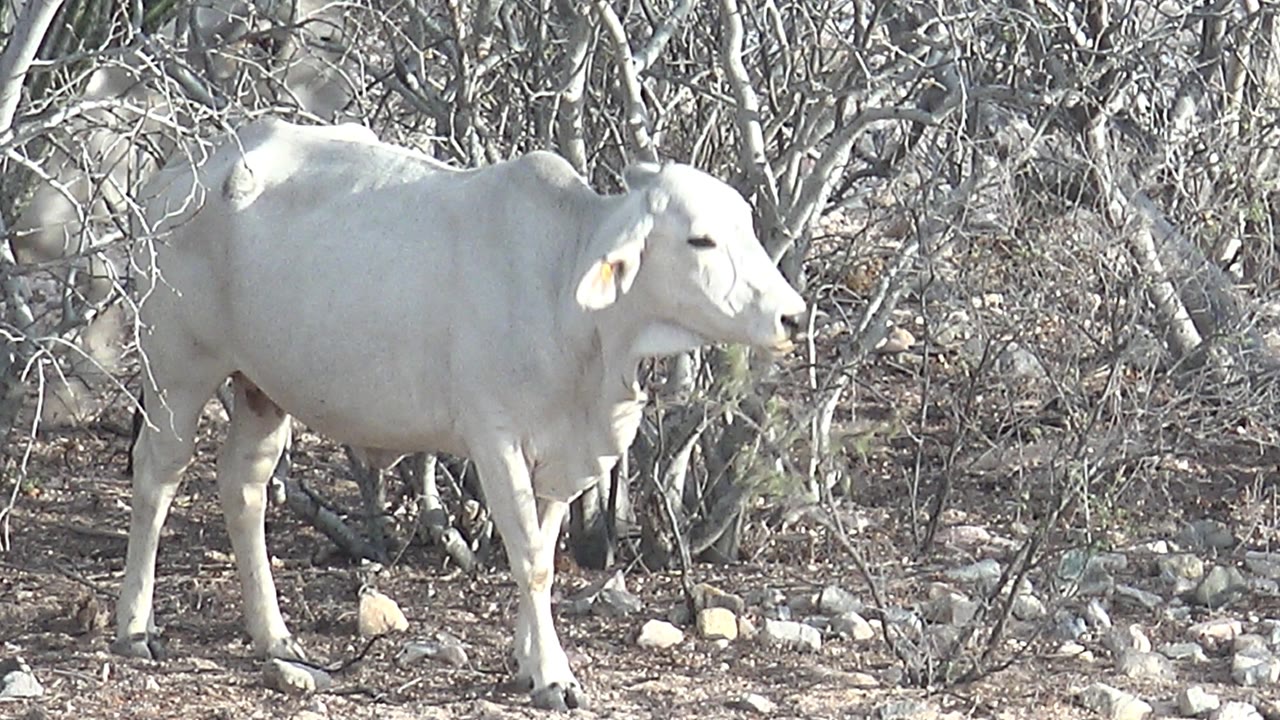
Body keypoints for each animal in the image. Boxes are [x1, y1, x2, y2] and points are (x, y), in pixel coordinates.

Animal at [116, 118, 805, 710]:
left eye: (745, 227)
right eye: (700, 239)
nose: (793, 316)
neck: (564, 292)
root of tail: (176, 172)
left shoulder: (556, 455)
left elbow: (543, 548)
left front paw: (527, 661)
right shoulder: (494, 438)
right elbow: (530, 557)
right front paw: (553, 676)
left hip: (263, 389)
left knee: (244, 487)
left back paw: (274, 635)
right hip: (177, 370)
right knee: (157, 476)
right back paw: (135, 627)